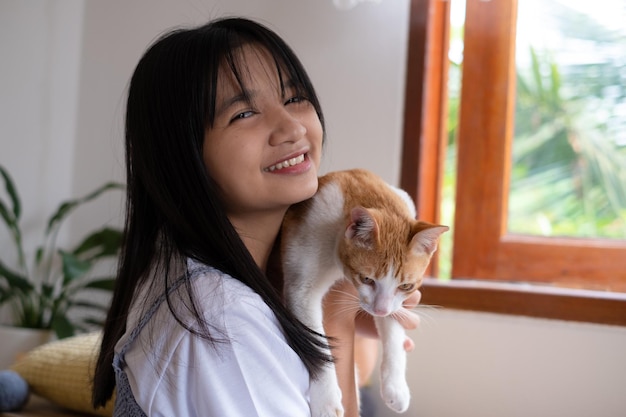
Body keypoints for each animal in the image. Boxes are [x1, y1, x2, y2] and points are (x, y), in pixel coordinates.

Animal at [280, 169, 446, 416]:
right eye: (367, 279)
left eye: (405, 286)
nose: (380, 310)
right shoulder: (301, 286)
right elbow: (316, 343)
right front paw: (326, 400)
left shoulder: (394, 302)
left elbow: (393, 330)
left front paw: (395, 386)